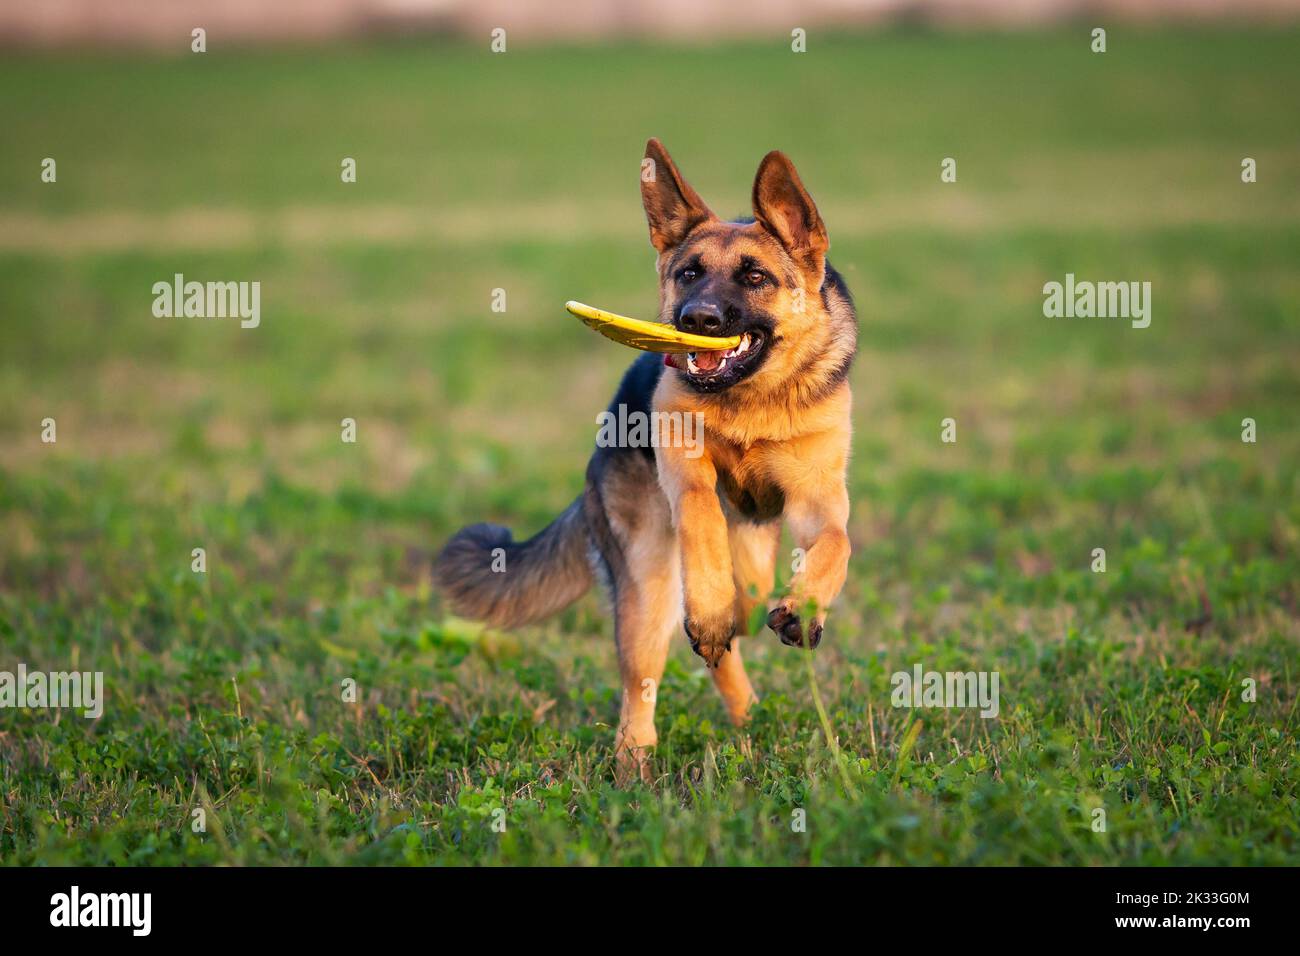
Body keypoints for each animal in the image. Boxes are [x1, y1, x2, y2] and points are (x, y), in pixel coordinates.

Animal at [436, 138, 857, 775]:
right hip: (646, 585)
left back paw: (750, 716)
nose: (697, 320)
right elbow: (702, 513)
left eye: (755, 276)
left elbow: (836, 544)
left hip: (752, 568)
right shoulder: (686, 473)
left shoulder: (816, 499)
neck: (751, 402)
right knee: (647, 677)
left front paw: (805, 608)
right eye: (689, 273)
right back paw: (636, 761)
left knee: (737, 628)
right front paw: (707, 609)